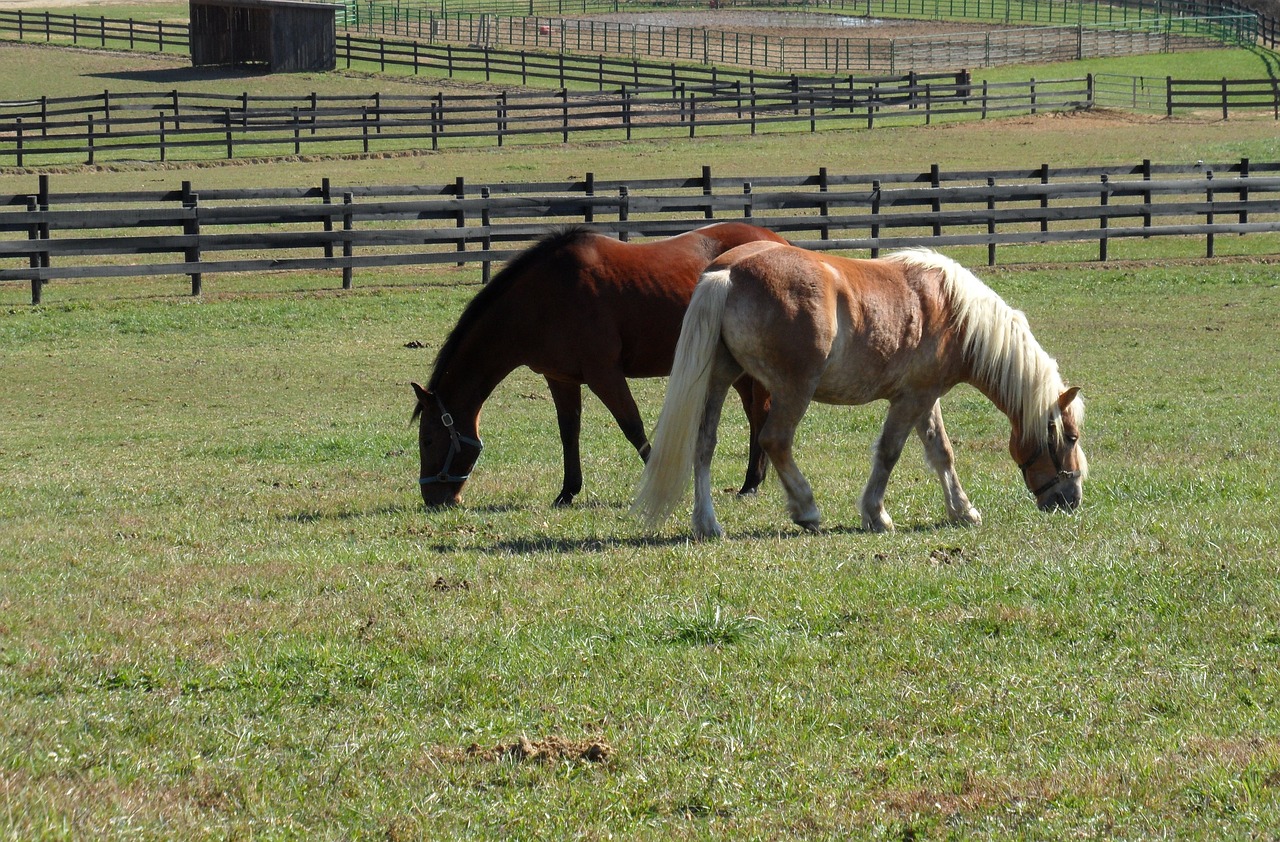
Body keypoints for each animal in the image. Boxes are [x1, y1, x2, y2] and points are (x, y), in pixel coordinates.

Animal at [409, 220, 788, 504]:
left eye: (427, 440)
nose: (433, 499)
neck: (543, 297)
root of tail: (777, 240)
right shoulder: (560, 378)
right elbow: (568, 431)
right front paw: (567, 491)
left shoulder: (604, 374)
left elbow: (632, 426)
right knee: (755, 414)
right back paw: (752, 481)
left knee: (760, 413)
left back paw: (751, 483)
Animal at [634, 240, 1085, 537]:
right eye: (1071, 437)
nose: (1071, 500)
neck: (952, 311)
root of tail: (728, 272)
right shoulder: (911, 399)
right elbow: (889, 453)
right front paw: (876, 515)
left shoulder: (924, 398)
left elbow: (941, 452)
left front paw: (961, 510)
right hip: (793, 390)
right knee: (775, 441)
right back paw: (806, 509)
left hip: (719, 379)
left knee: (703, 444)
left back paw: (707, 523)